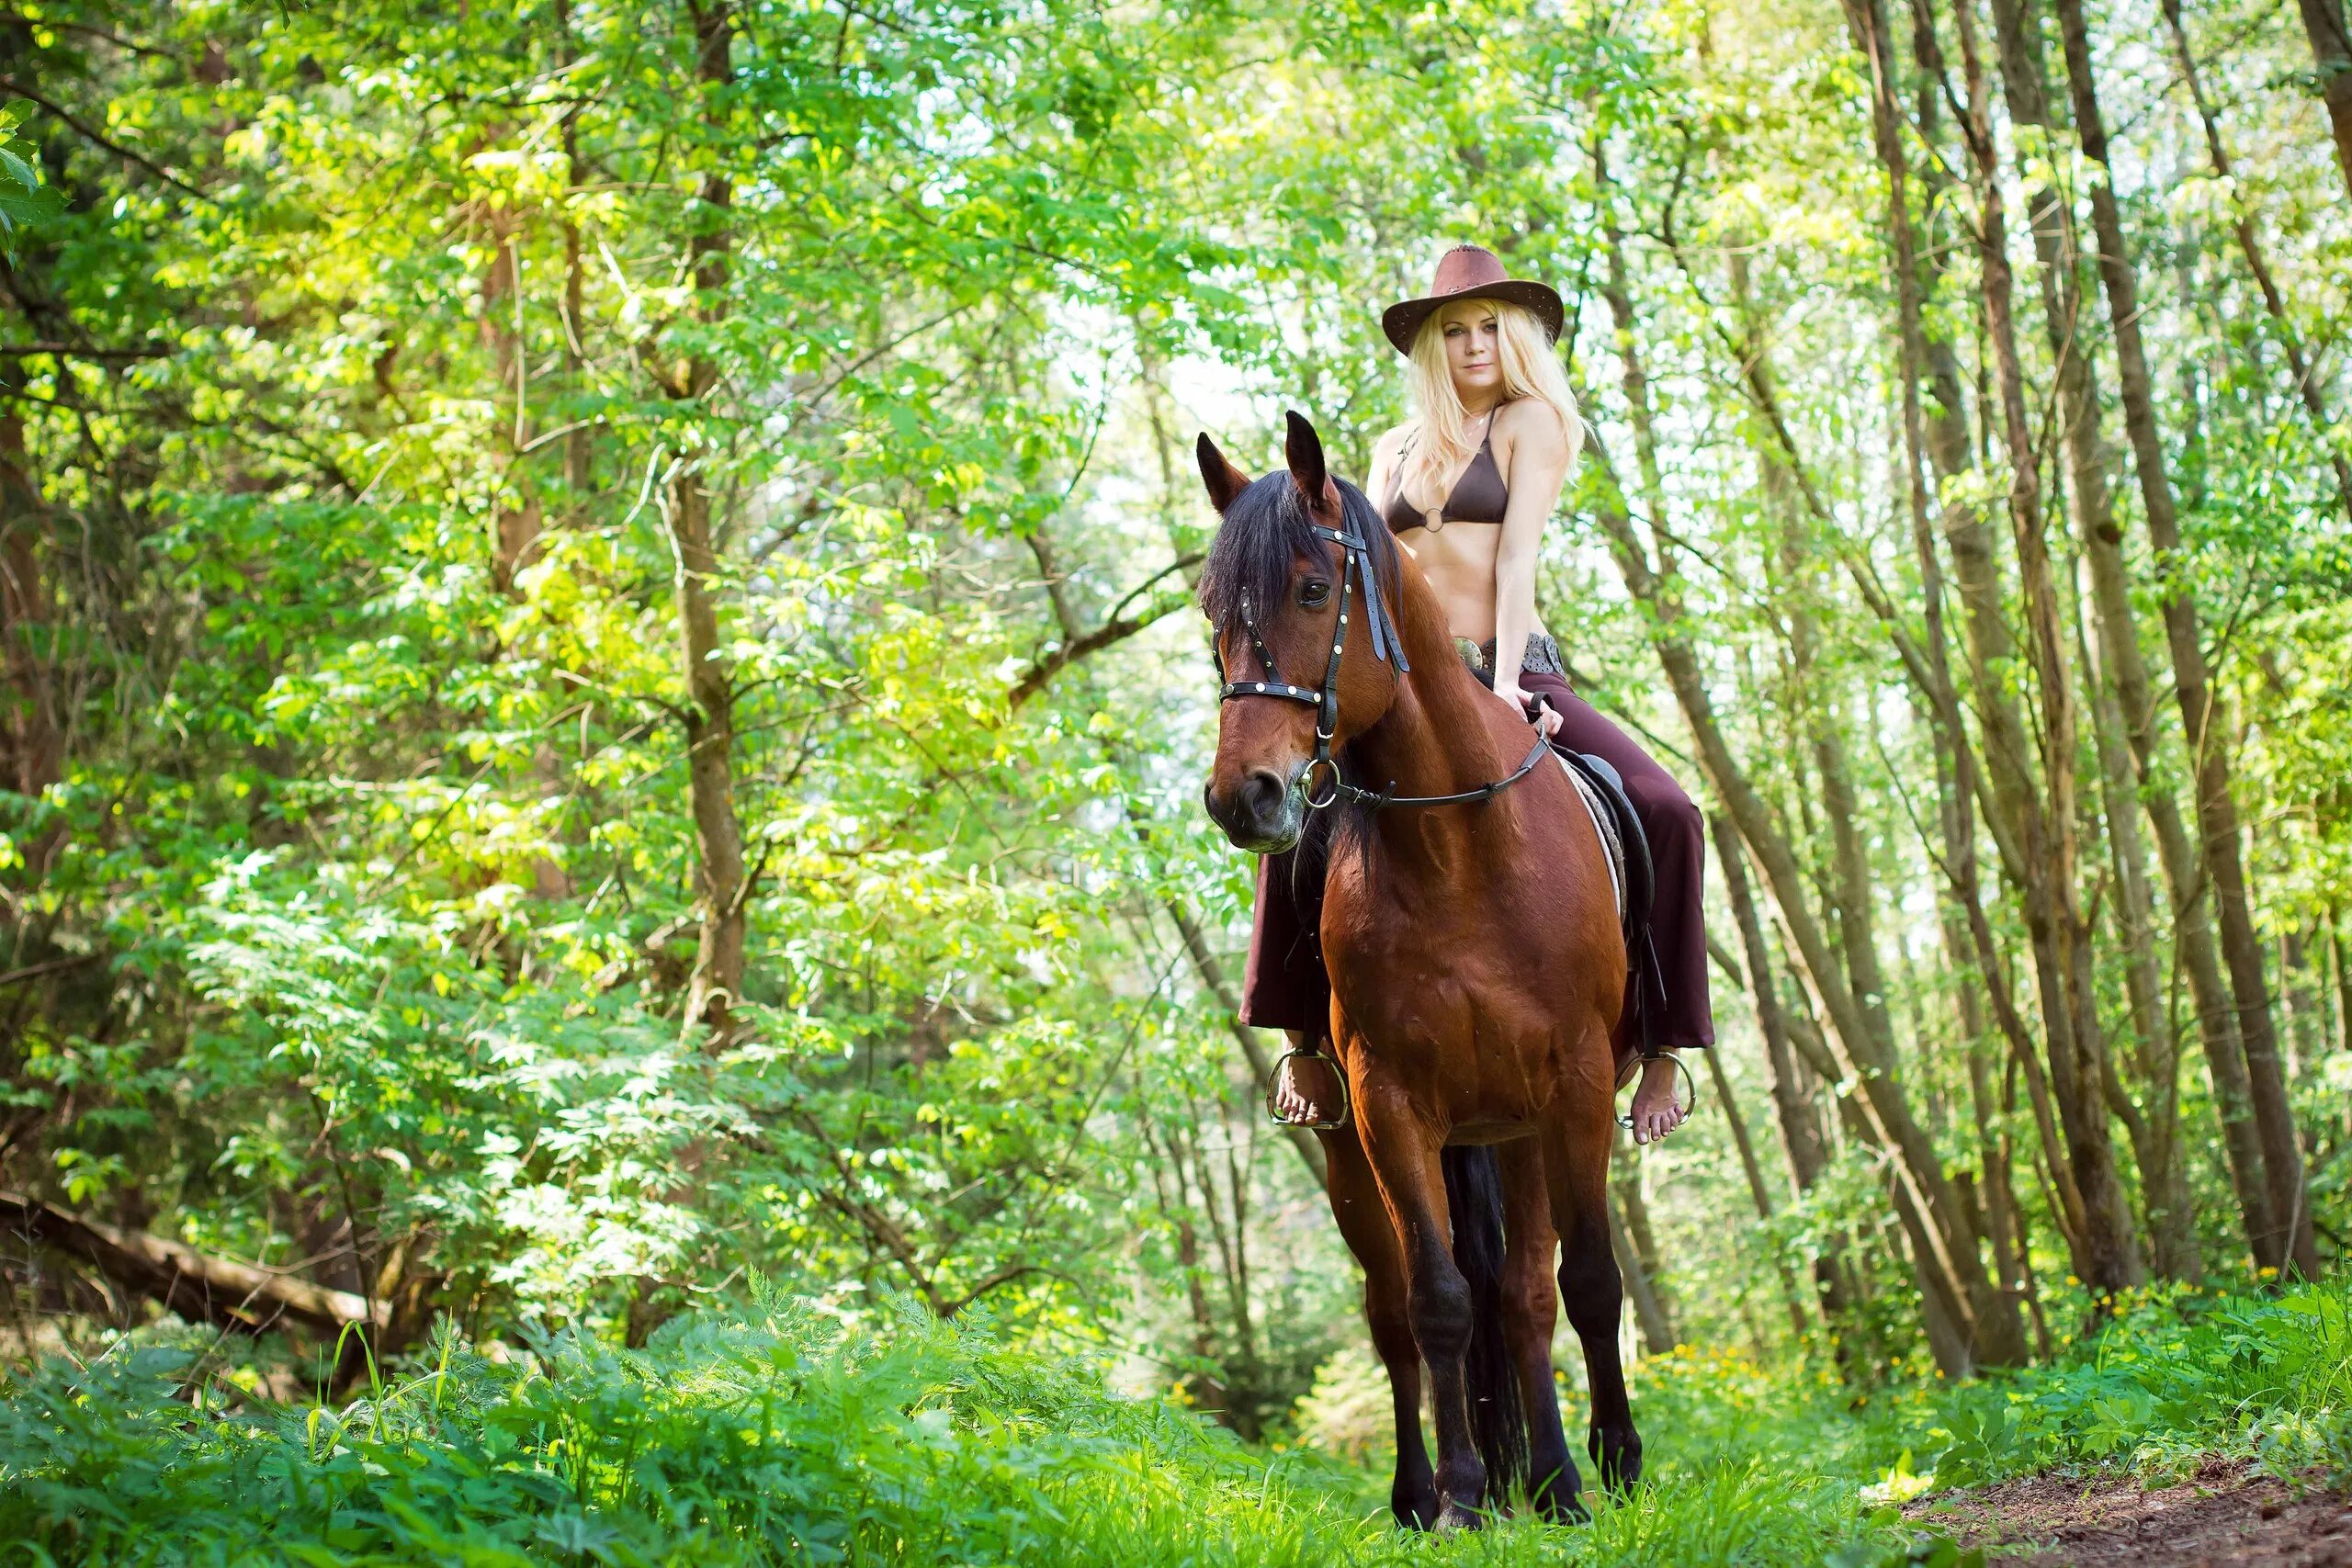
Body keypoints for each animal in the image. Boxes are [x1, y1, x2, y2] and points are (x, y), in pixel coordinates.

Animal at [1194, 413, 1636, 1532]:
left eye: (1314, 589)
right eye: (1213, 613)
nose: (1243, 797)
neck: (1458, 851)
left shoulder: (1572, 1089)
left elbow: (1583, 1283)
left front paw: (1608, 1468)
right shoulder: (1389, 1103)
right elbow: (1437, 1302)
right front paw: (1461, 1498)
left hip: (1516, 1130)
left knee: (1523, 1296)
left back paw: (1557, 1479)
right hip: (1354, 1150)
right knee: (1394, 1313)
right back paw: (1415, 1488)